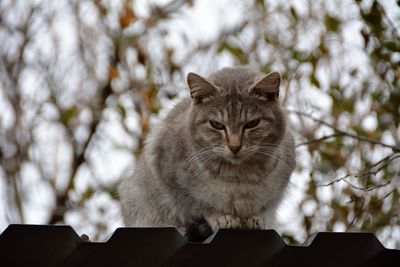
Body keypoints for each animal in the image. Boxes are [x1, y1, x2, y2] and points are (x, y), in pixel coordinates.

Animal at [117, 66, 296, 243]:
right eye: (217, 124)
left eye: (252, 123)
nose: (235, 147)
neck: (239, 177)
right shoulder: (171, 180)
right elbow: (202, 205)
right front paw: (222, 217)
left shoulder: (277, 192)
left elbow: (265, 207)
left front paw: (255, 217)